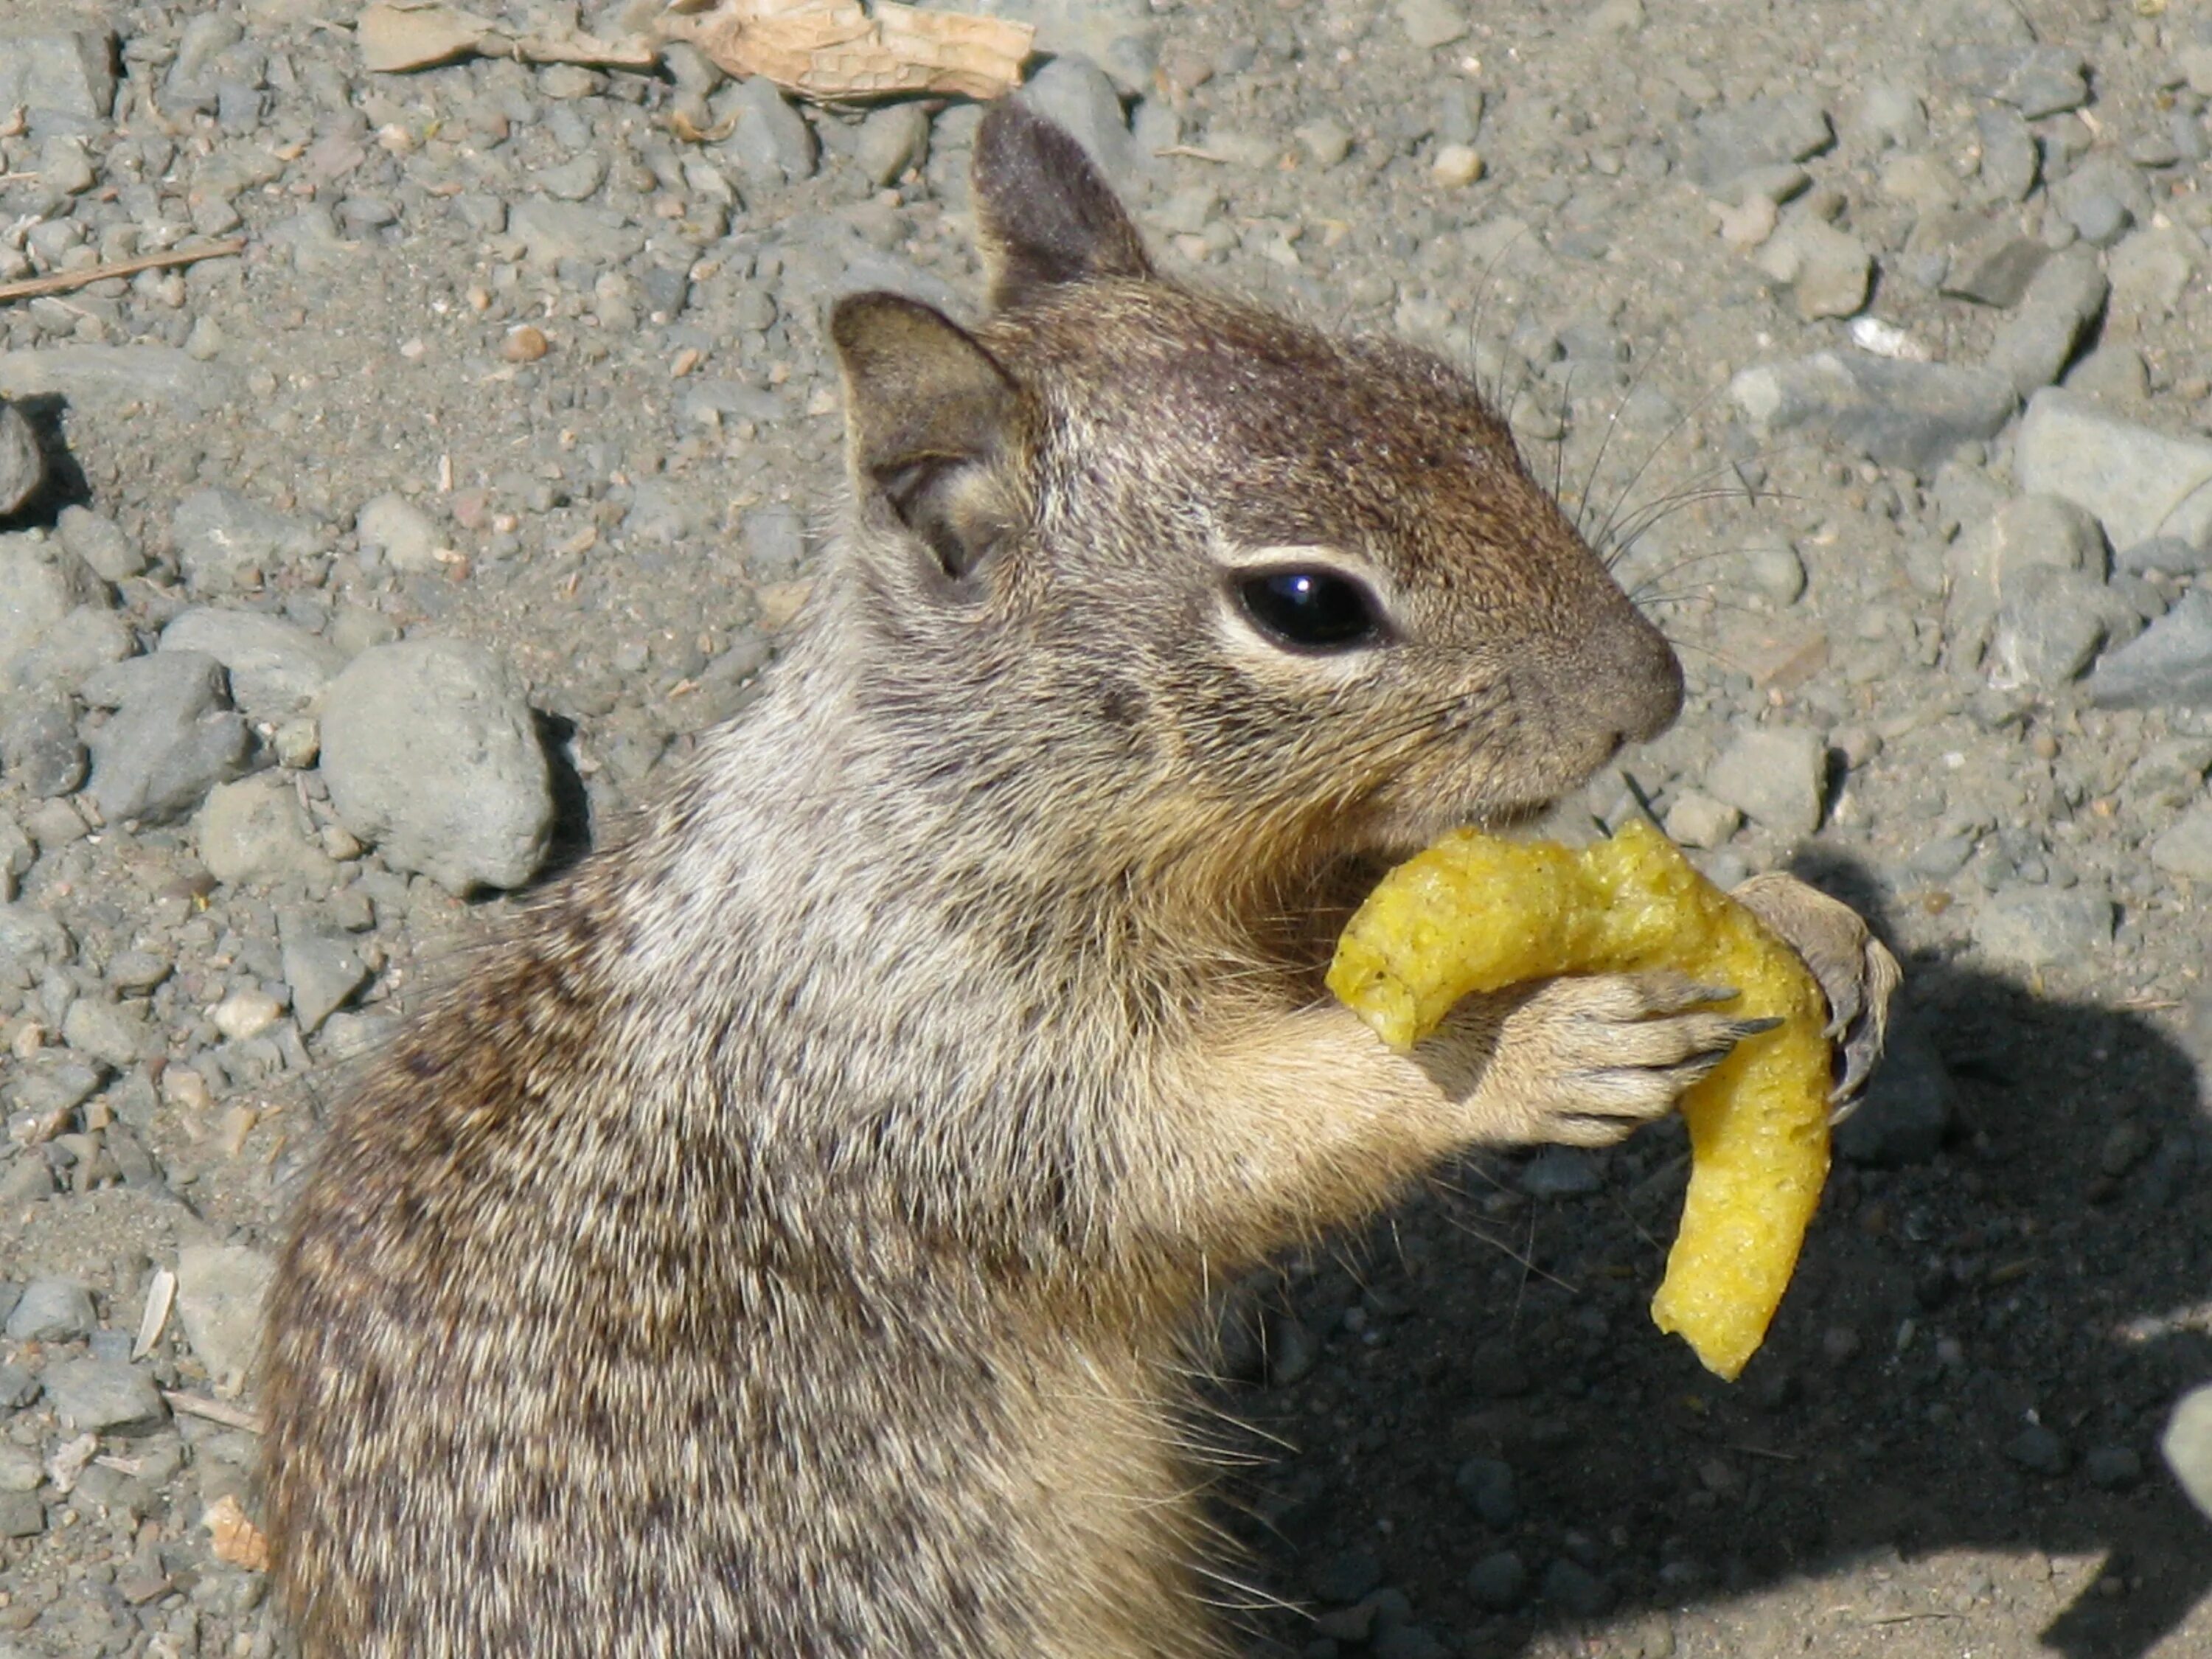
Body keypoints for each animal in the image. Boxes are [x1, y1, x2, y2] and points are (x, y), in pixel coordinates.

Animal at [254, 107, 1885, 1659]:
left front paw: (1810, 929)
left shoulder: (1272, 897)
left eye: (1453, 394)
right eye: (1307, 604)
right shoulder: (943, 1057)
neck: (945, 802)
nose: (1653, 690)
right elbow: (1216, 1140)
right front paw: (1532, 1044)